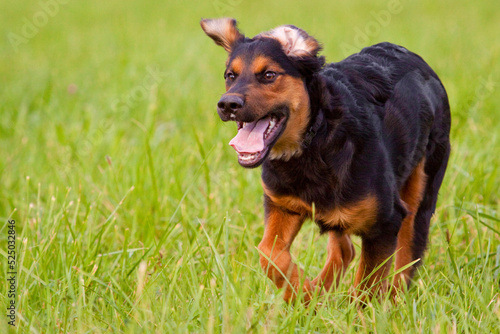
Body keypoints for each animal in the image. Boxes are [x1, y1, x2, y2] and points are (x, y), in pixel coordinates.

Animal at [201, 17, 452, 302]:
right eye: (230, 76)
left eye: (269, 75)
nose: (227, 104)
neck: (315, 140)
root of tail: (421, 63)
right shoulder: (281, 204)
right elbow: (269, 253)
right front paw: (304, 295)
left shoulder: (386, 222)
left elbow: (368, 286)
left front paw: (354, 311)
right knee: (345, 248)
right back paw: (321, 290)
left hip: (421, 189)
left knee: (406, 258)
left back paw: (395, 303)